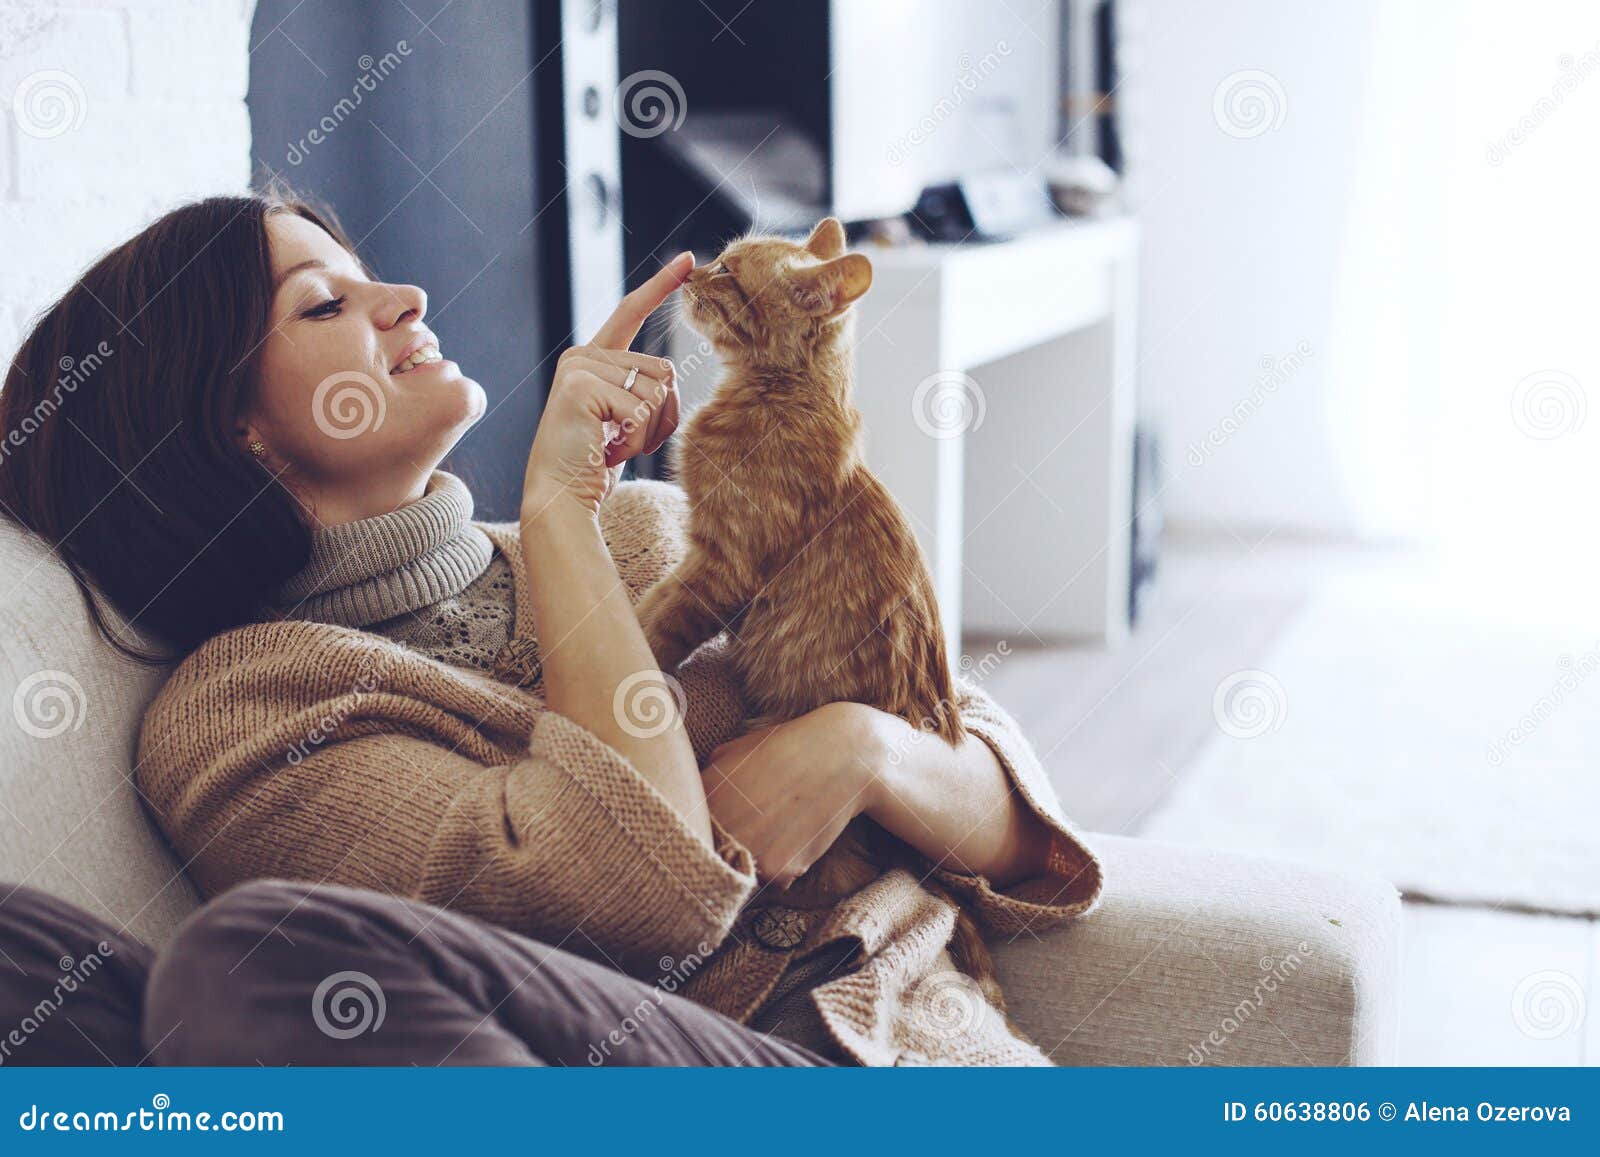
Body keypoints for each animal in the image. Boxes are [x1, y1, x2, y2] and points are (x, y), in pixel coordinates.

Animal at [636, 217, 998, 1011]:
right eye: (718, 258)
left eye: (730, 274)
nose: (689, 270)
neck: (773, 395)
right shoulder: (704, 562)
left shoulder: (719, 569)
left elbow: (654, 622)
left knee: (836, 885)